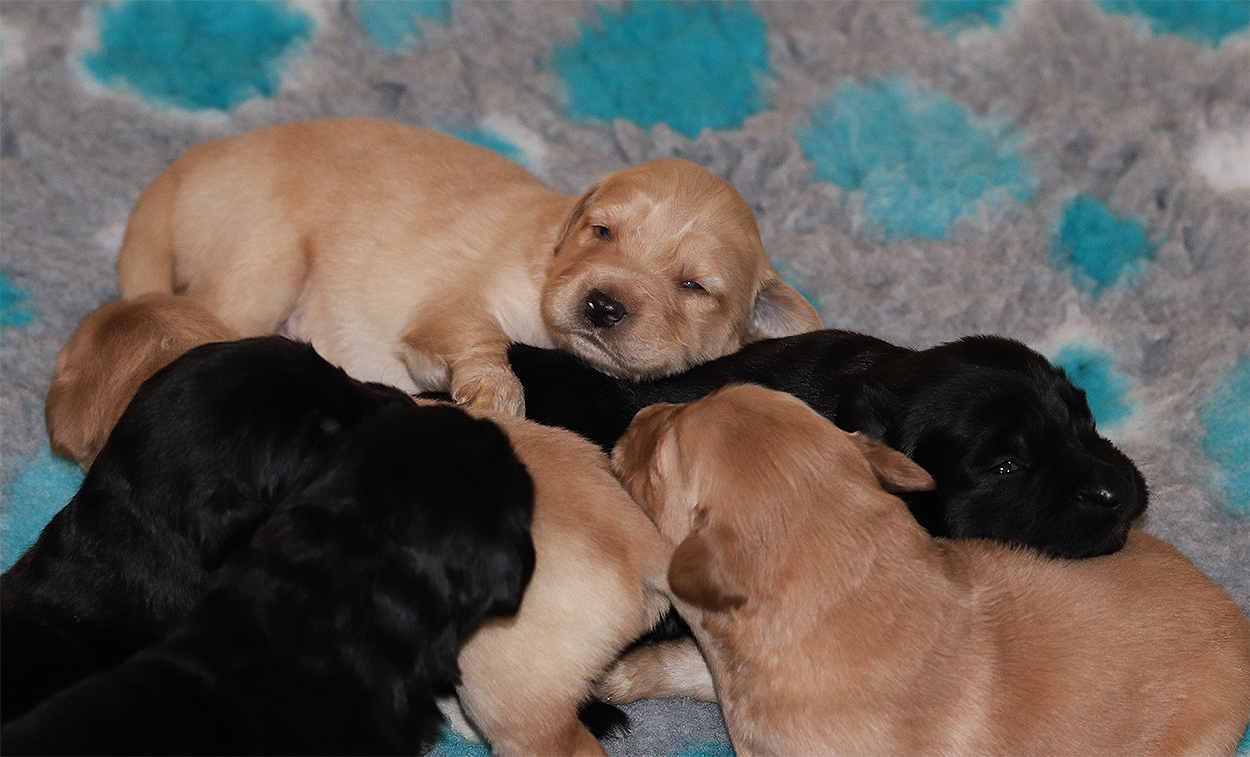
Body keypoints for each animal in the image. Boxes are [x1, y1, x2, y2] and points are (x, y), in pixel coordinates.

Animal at [116, 117, 822, 415]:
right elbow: (477, 334)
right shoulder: (451, 307)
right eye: (602, 231)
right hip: (266, 261)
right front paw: (494, 388)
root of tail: (192, 162)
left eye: (694, 285)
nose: (601, 304)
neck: (548, 259)